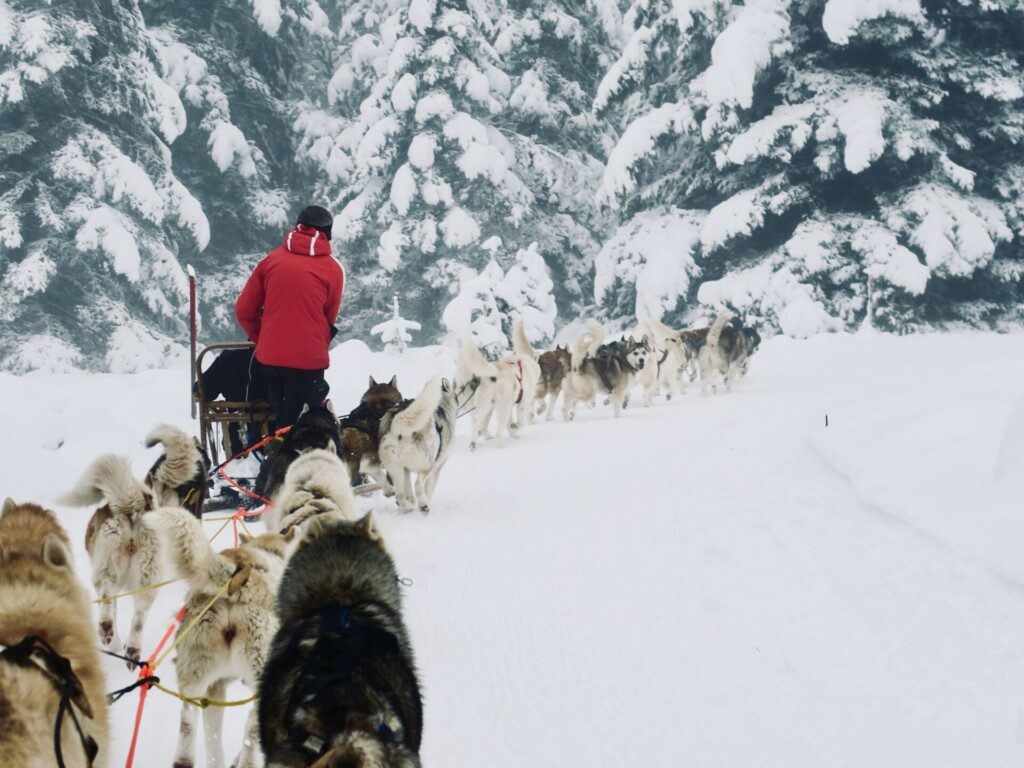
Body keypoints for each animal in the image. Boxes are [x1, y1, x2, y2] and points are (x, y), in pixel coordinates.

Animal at [57, 456, 161, 667]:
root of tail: (134, 510)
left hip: (105, 572)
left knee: (106, 597)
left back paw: (107, 630)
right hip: (146, 580)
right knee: (138, 618)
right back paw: (131, 648)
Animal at [378, 376, 454, 514]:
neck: (442, 407)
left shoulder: (406, 469)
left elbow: (408, 491)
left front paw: (412, 502)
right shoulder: (436, 469)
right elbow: (427, 490)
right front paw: (425, 502)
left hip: (396, 468)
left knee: (400, 495)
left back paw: (408, 507)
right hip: (427, 465)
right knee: (418, 486)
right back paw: (423, 505)